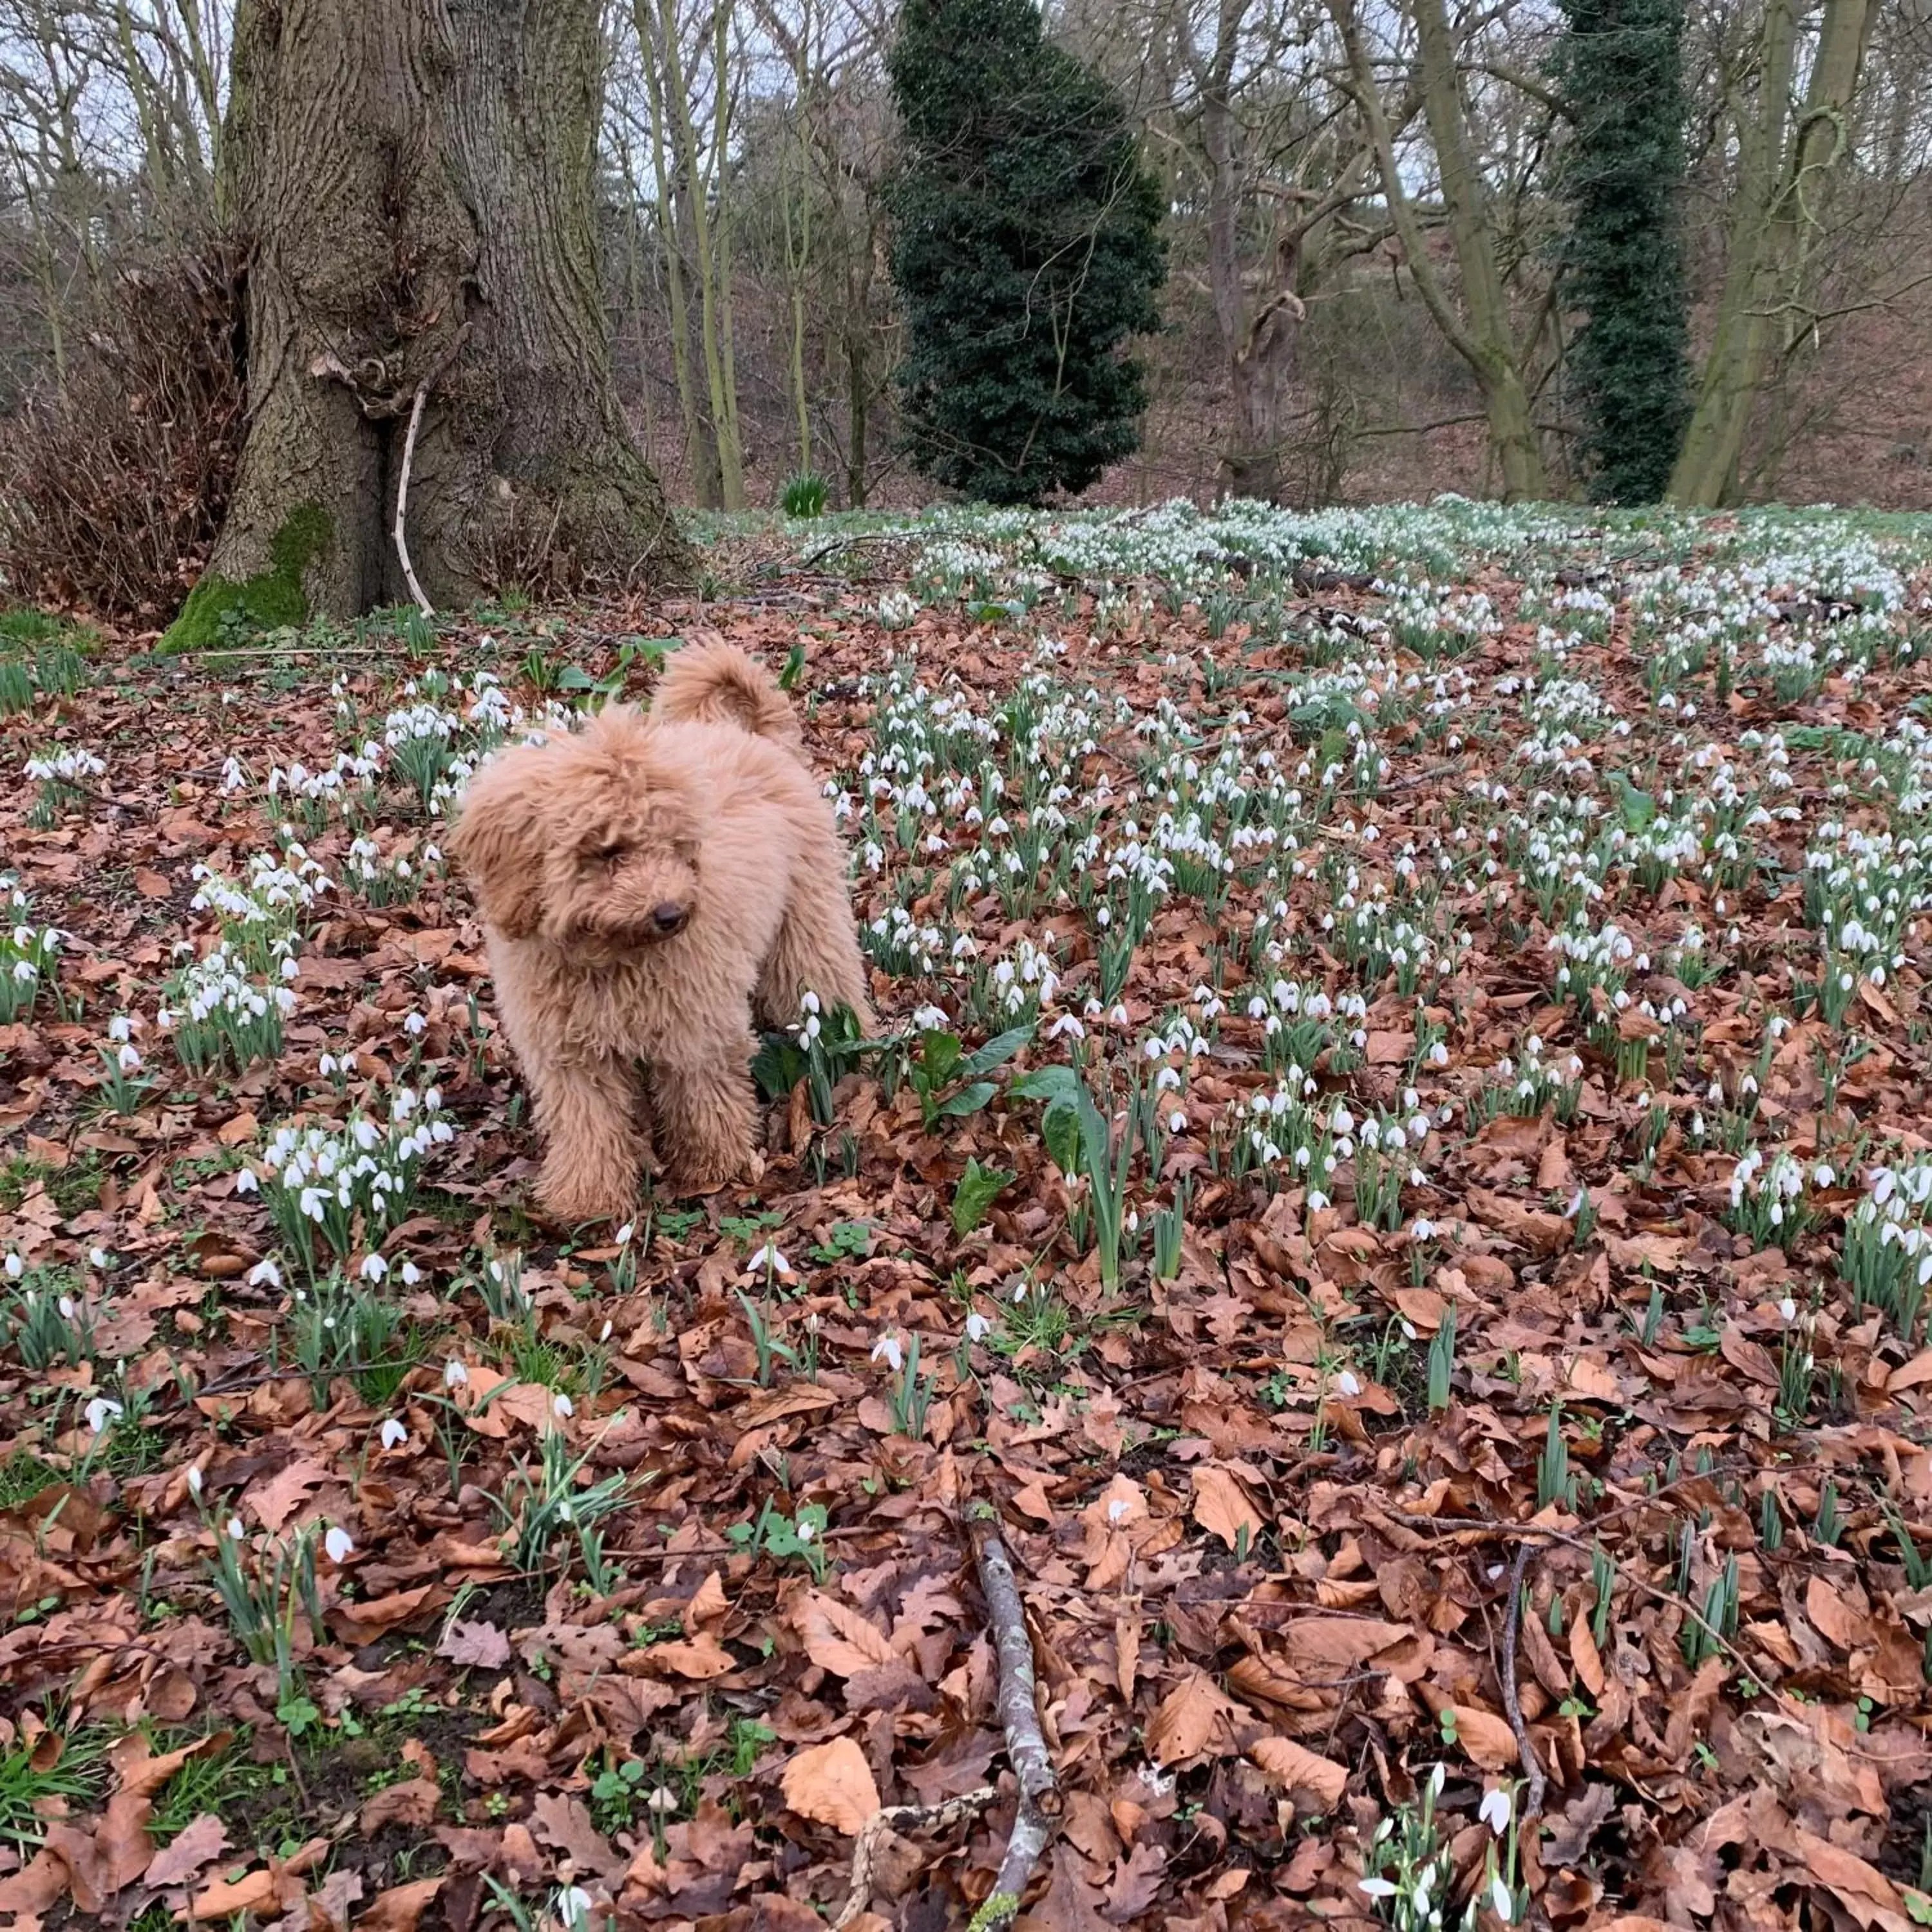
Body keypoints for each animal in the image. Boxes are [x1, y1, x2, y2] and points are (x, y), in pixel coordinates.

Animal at [448, 645, 873, 1221]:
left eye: (675, 845)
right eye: (609, 851)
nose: (672, 914)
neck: (610, 958)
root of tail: (757, 739)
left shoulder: (695, 1025)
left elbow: (703, 1097)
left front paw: (713, 1168)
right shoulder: (571, 1054)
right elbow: (588, 1123)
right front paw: (587, 1197)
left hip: (809, 920)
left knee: (827, 979)